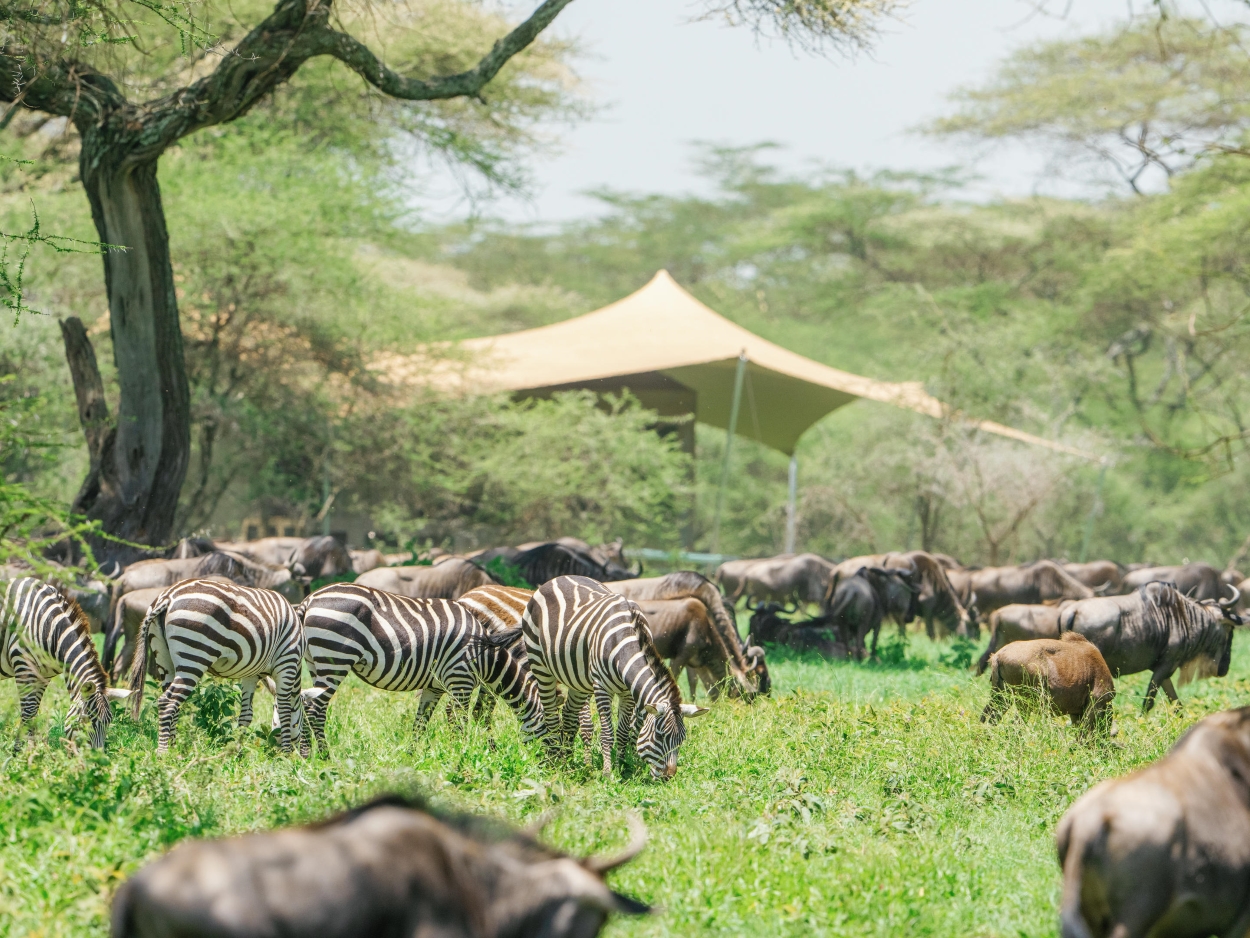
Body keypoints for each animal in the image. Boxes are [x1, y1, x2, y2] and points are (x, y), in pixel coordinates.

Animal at [1, 577, 130, 755]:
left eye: (108, 722)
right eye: (84, 720)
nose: (96, 759)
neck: (48, 625)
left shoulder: (44, 676)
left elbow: (33, 713)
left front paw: (32, 753)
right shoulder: (24, 668)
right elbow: (28, 713)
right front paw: (19, 754)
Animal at [127, 580, 312, 755]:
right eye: (305, 721)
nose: (306, 755)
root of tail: (167, 596)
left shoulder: (251, 674)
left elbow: (246, 715)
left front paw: (237, 752)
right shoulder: (287, 663)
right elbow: (285, 710)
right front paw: (286, 754)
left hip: (164, 659)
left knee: (172, 701)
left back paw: (173, 749)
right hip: (194, 656)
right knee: (168, 701)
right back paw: (164, 753)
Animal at [297, 587, 547, 755]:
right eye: (551, 730)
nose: (550, 767)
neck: (486, 658)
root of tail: (310, 599)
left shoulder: (434, 687)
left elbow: (420, 722)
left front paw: (412, 756)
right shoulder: (460, 679)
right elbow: (457, 720)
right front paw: (460, 753)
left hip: (315, 663)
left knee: (305, 706)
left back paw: (307, 755)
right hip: (335, 659)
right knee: (315, 709)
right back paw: (324, 756)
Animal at [485, 577, 705, 780]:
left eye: (681, 740)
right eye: (660, 736)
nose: (669, 777)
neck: (626, 642)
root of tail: (555, 579)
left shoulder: (627, 692)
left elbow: (622, 732)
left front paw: (622, 767)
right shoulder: (601, 687)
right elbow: (607, 732)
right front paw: (607, 773)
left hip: (578, 681)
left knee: (569, 715)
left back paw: (568, 762)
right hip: (541, 667)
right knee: (551, 717)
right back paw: (555, 762)